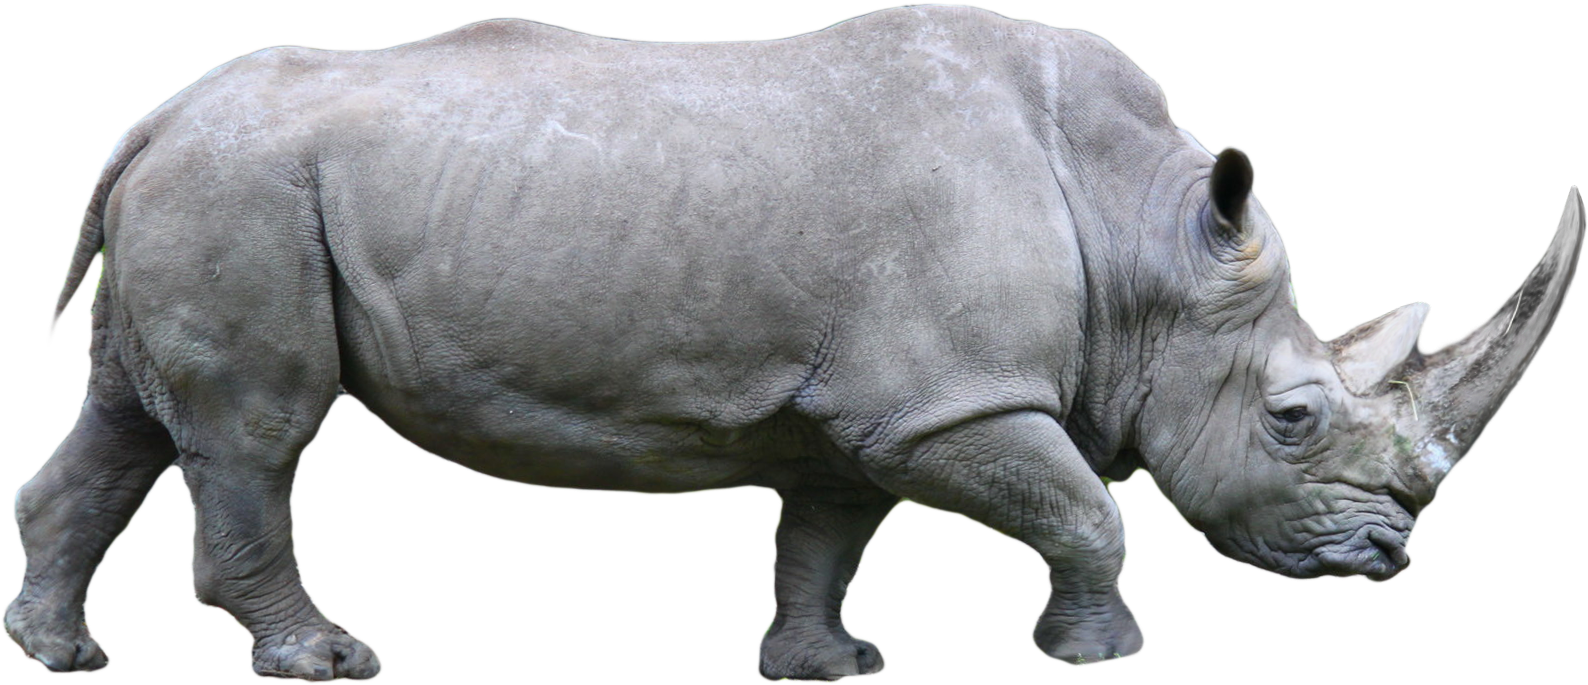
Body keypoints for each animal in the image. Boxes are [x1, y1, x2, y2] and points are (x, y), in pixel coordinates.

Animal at [8, 5, 1582, 681]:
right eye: (1292, 418)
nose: (1385, 560)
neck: (1145, 236)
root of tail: (153, 115)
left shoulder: (867, 414)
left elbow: (826, 534)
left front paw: (826, 669)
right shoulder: (954, 401)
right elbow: (1086, 510)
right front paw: (1101, 655)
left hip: (210, 185)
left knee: (130, 420)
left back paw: (57, 654)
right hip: (243, 194)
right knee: (256, 434)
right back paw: (325, 663)